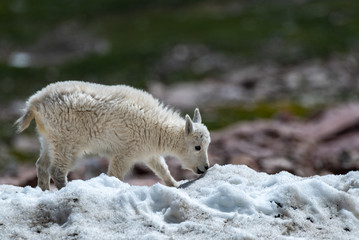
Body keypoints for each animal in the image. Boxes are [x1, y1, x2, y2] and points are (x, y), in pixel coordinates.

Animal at [15, 81, 211, 190]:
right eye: (197, 147)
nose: (205, 168)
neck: (156, 127)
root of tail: (34, 103)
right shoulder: (124, 152)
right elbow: (115, 174)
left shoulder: (147, 151)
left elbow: (161, 168)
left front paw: (175, 184)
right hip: (67, 141)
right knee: (57, 169)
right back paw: (65, 190)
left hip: (49, 138)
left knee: (41, 165)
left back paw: (44, 191)